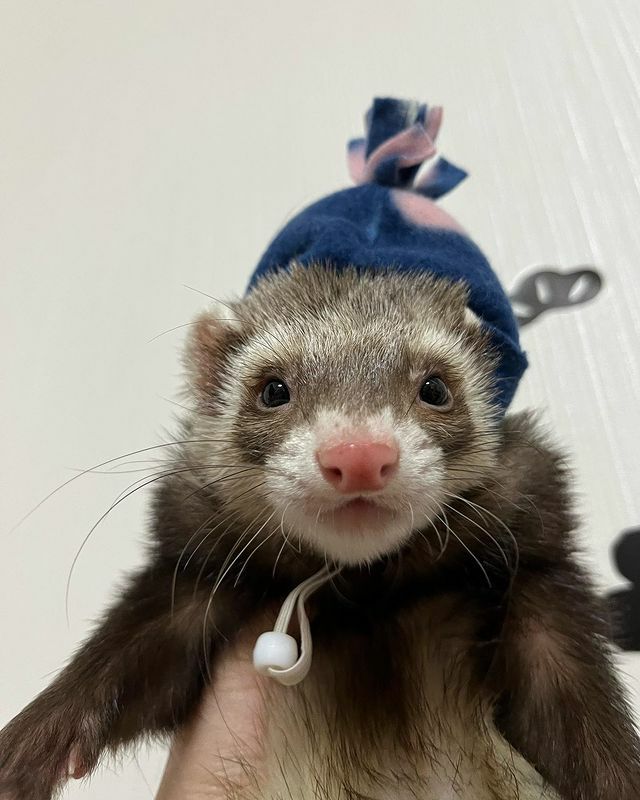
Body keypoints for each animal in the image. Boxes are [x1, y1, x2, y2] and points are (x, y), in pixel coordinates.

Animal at [1, 264, 639, 799]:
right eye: (272, 389)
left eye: (435, 387)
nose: (358, 454)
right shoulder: (190, 578)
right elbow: (123, 657)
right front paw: (27, 747)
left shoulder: (540, 579)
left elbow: (579, 710)